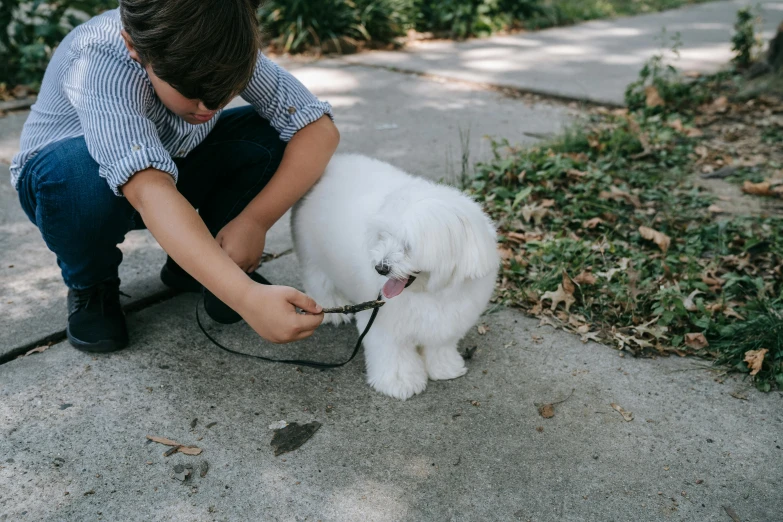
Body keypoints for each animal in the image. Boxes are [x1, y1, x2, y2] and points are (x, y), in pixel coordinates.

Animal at [290, 153, 500, 398]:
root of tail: (333, 163)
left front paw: (445, 368)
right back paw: (332, 308)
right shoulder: (385, 326)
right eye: (384, 236)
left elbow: (440, 346)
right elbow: (394, 355)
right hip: (313, 257)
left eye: (409, 246)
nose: (380, 268)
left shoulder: (449, 320)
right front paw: (400, 382)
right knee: (319, 282)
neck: (429, 292)